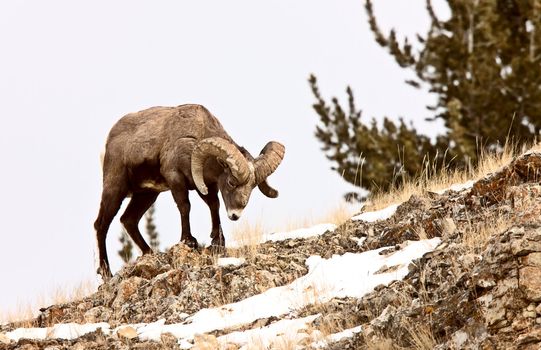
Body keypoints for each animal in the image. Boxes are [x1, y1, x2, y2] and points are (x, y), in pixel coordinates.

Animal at [94, 102, 284, 278]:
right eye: (231, 182)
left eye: (252, 186)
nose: (235, 215)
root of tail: (111, 137)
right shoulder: (175, 178)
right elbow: (185, 206)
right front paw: (189, 241)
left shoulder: (205, 185)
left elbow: (214, 205)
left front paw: (217, 241)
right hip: (114, 190)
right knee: (101, 225)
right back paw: (106, 272)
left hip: (146, 195)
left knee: (128, 220)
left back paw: (150, 253)